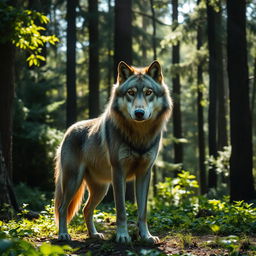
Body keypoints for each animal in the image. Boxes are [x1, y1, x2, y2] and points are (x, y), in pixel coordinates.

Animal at [53, 60, 172, 244]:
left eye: (148, 92)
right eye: (131, 92)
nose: (139, 113)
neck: (139, 135)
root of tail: (69, 130)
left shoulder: (144, 174)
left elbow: (143, 212)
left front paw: (146, 236)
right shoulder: (118, 173)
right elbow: (121, 211)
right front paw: (122, 236)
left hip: (101, 189)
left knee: (86, 209)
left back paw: (94, 235)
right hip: (74, 181)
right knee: (62, 207)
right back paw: (63, 235)